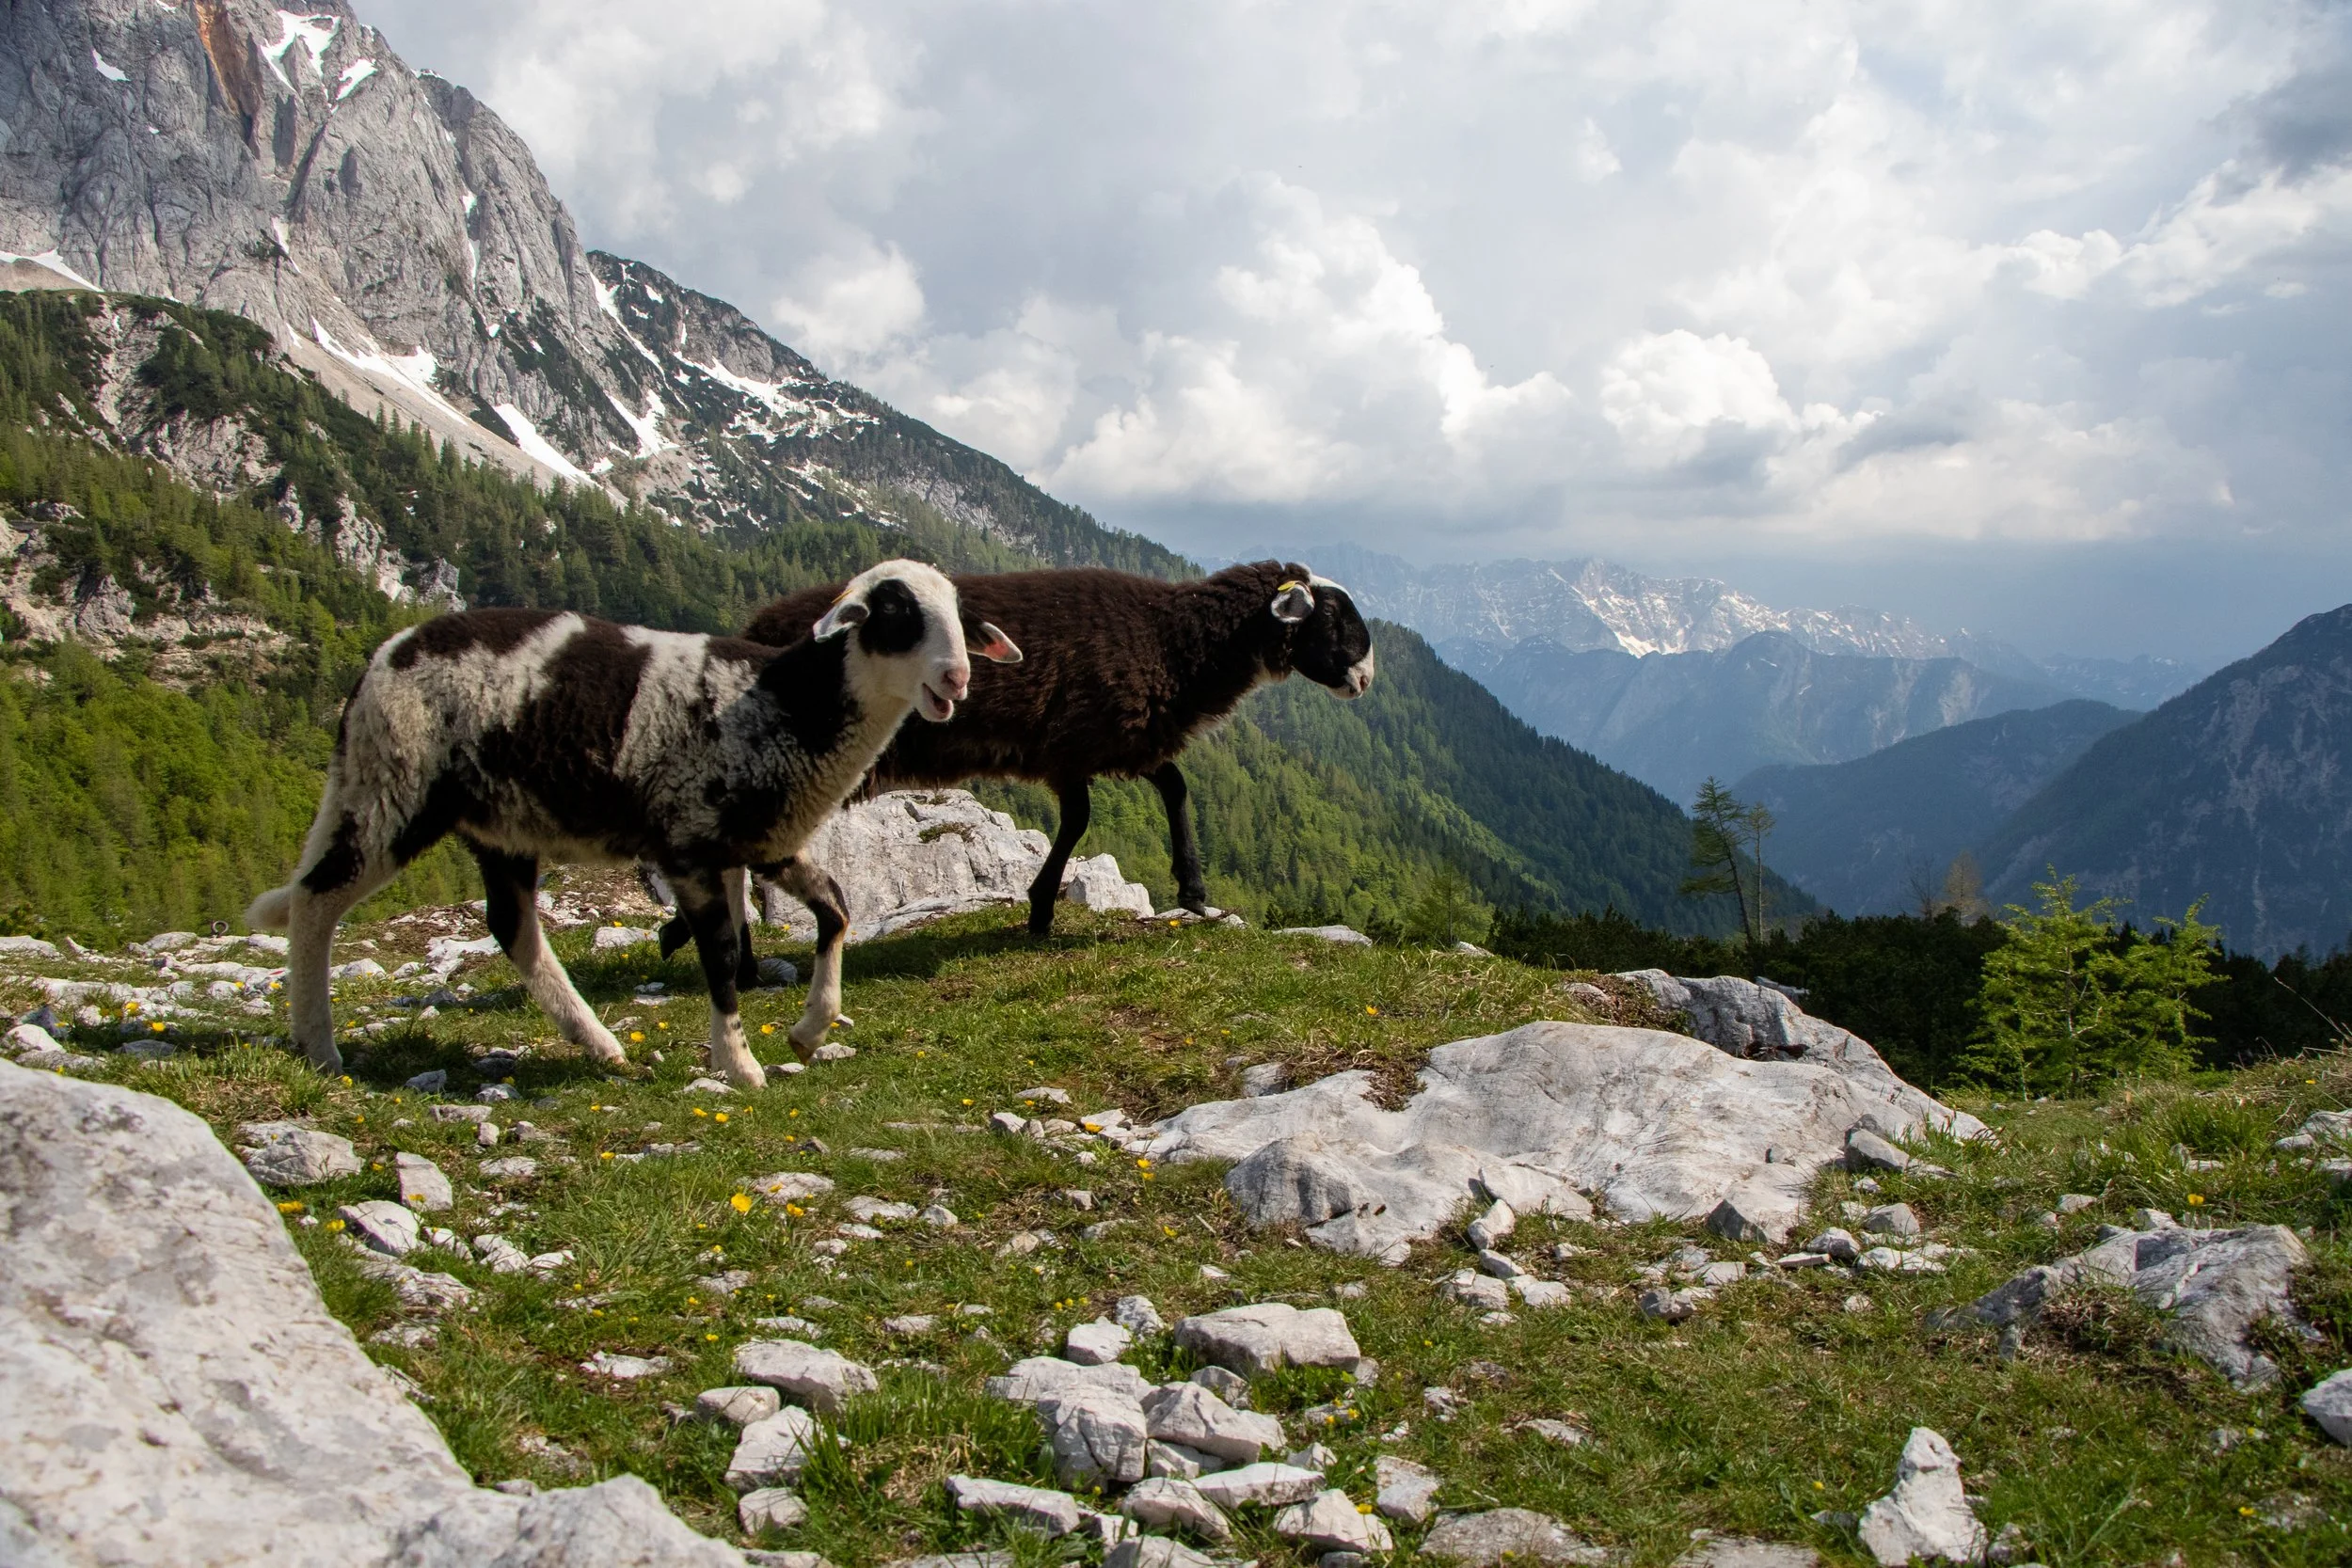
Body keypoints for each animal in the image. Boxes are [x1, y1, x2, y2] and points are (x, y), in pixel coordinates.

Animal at [245, 559, 1020, 1091]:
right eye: (896, 612)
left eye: (959, 616)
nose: (956, 678)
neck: (788, 705)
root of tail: (380, 659)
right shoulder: (690, 844)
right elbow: (722, 958)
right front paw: (739, 1064)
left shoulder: (763, 839)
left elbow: (835, 910)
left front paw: (807, 1029)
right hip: (394, 788)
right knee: (316, 900)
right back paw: (318, 1043)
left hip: (499, 820)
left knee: (512, 926)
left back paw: (598, 1043)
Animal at [665, 560, 1373, 965]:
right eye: (1334, 617)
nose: (1366, 678)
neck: (1174, 639)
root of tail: (751, 629)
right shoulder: (1088, 739)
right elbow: (1107, 811)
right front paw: (1049, 907)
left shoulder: (1105, 743)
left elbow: (1154, 794)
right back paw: (726, 953)